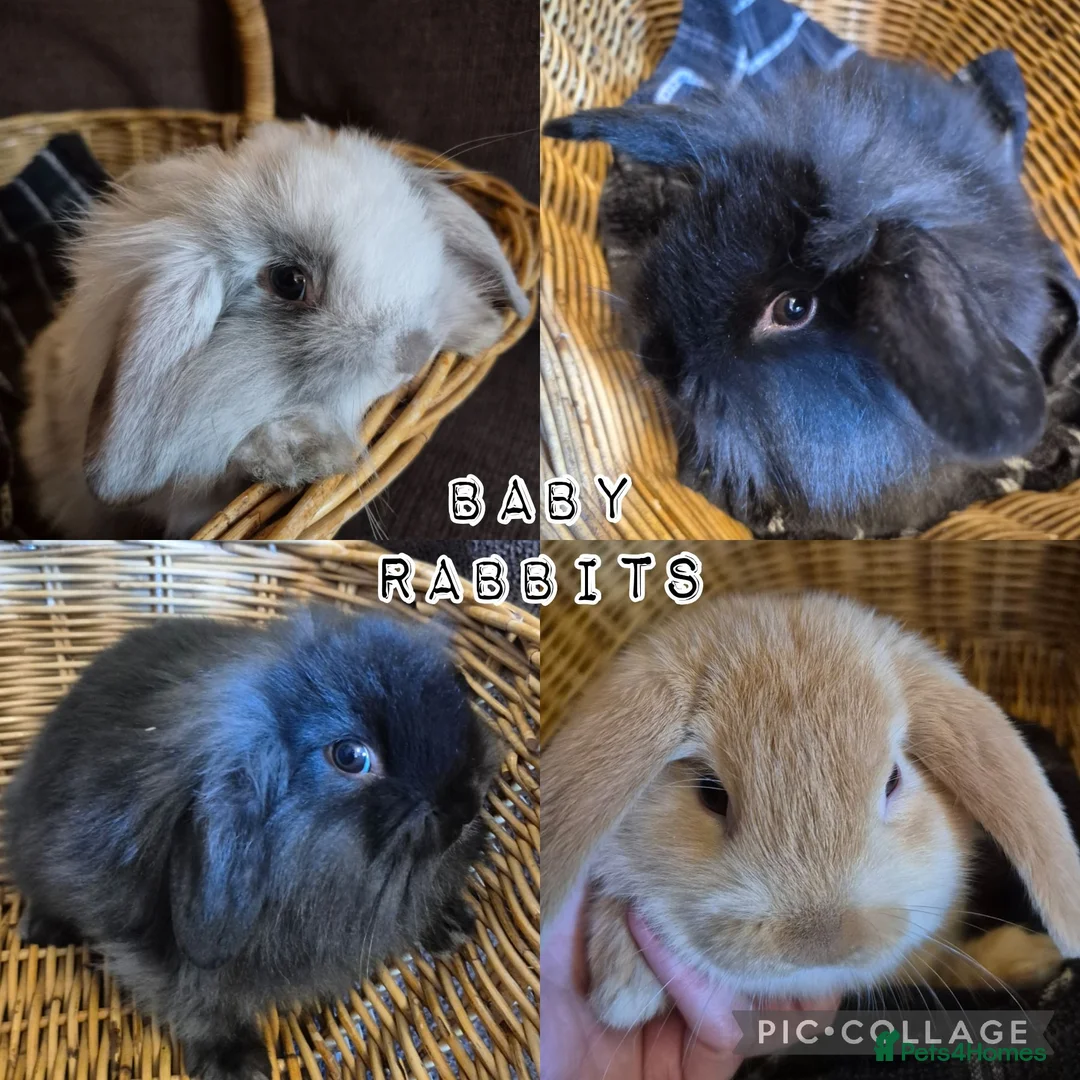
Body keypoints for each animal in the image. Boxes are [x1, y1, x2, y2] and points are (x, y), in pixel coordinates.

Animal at [3, 606, 500, 1080]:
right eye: (350, 756)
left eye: (456, 686)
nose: (466, 803)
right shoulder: (152, 958)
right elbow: (200, 1006)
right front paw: (239, 1065)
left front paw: (452, 924)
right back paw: (42, 931)